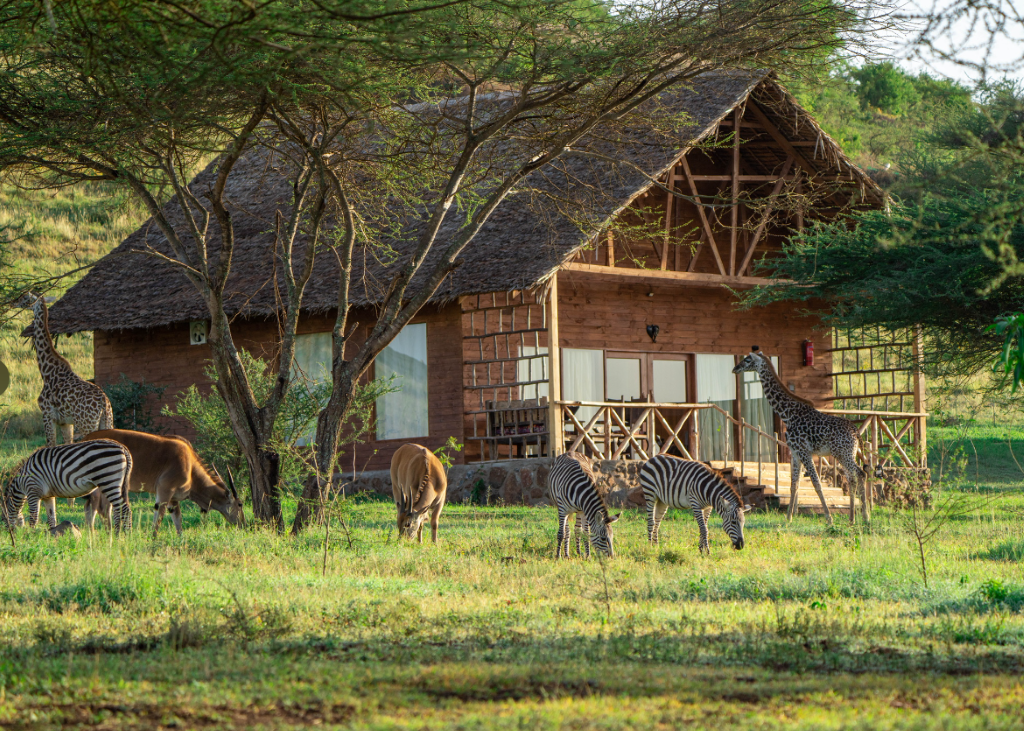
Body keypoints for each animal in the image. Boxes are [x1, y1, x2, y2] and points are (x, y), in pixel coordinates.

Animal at [3, 439, 133, 533]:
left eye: (3, 516)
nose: (8, 533)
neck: (22, 481)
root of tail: (123, 448)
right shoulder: (48, 496)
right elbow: (52, 518)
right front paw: (52, 535)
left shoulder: (33, 490)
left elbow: (33, 518)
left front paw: (31, 536)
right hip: (117, 483)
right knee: (120, 510)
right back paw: (122, 536)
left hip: (108, 480)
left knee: (124, 509)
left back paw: (124, 536)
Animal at [18, 293, 114, 447]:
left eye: (26, 297)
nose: (16, 301)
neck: (46, 372)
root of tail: (104, 404)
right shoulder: (65, 422)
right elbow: (67, 443)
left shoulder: (47, 415)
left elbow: (51, 444)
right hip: (107, 422)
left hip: (87, 425)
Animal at [81, 429, 245, 535]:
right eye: (240, 504)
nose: (243, 524)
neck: (191, 467)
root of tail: (87, 437)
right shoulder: (165, 491)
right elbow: (158, 520)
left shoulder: (173, 499)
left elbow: (178, 521)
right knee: (97, 507)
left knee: (101, 508)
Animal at [732, 346, 866, 526]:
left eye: (747, 360)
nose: (735, 369)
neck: (787, 414)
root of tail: (856, 431)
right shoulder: (795, 452)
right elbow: (793, 484)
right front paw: (788, 518)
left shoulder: (804, 450)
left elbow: (816, 483)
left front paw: (829, 518)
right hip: (845, 454)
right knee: (853, 478)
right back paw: (854, 519)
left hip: (843, 453)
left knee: (860, 474)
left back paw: (865, 517)